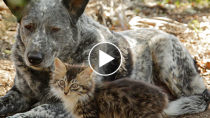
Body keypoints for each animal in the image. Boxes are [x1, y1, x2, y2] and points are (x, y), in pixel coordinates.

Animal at [0, 0, 210, 117]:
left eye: (55, 29)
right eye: (28, 26)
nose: (33, 58)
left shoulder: (70, 103)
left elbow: (36, 111)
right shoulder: (20, 93)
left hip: (163, 50)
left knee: (199, 96)